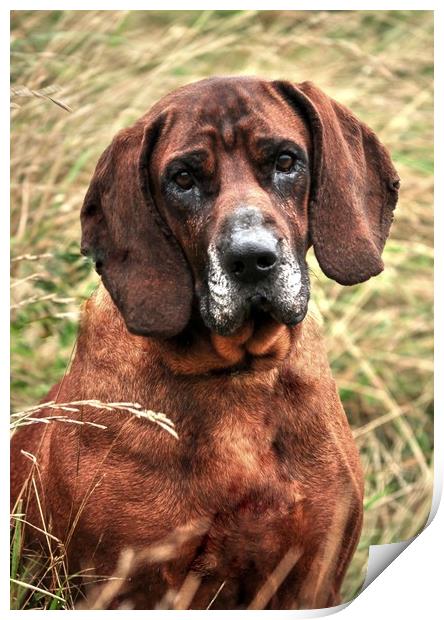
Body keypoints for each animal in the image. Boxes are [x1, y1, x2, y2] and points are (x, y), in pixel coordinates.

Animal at [10, 77, 398, 612]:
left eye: (285, 160)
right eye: (183, 178)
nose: (252, 259)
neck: (238, 376)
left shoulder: (313, 578)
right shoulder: (124, 587)